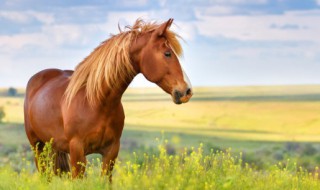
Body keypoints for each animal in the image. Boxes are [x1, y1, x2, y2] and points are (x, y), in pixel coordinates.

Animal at [23, 18, 192, 180]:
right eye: (167, 53)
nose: (187, 91)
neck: (96, 102)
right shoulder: (77, 152)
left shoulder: (111, 152)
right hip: (37, 147)